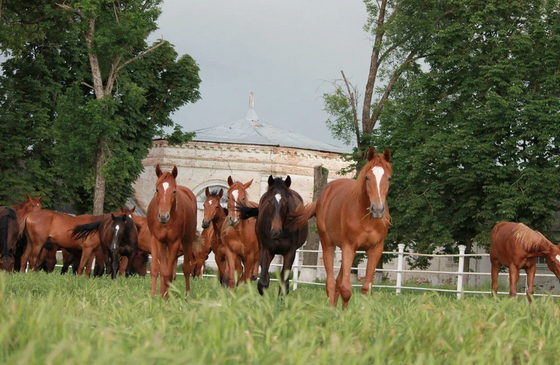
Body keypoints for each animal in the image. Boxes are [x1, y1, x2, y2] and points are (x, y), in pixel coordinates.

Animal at [147, 164, 197, 298]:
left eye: (174, 191)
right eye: (157, 189)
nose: (163, 216)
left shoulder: (174, 242)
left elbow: (168, 272)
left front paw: (165, 297)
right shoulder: (157, 239)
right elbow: (157, 269)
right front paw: (154, 296)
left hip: (187, 241)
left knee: (186, 268)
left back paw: (187, 295)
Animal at [290, 146, 392, 308]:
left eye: (388, 178)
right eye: (367, 177)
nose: (377, 209)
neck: (368, 219)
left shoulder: (375, 249)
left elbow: (366, 288)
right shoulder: (349, 246)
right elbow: (346, 288)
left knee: (337, 282)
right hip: (329, 244)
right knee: (331, 283)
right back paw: (332, 309)